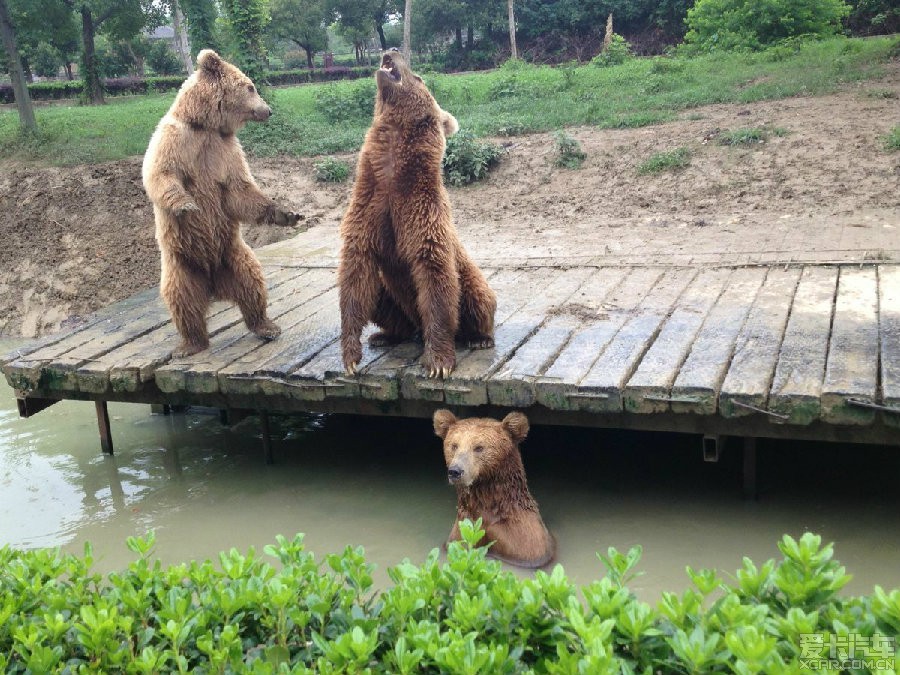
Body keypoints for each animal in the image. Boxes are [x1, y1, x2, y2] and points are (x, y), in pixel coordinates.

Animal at [142, 49, 300, 356]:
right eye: (250, 86)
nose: (268, 110)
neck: (206, 126)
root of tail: (213, 286)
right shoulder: (175, 141)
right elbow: (161, 175)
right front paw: (186, 205)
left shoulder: (225, 151)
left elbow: (239, 191)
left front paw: (286, 213)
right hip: (182, 263)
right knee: (182, 299)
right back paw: (190, 344)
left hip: (233, 254)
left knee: (252, 283)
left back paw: (266, 326)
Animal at [338, 49, 496, 380]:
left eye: (419, 76)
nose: (392, 50)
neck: (392, 174)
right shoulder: (369, 208)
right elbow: (355, 277)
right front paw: (350, 357)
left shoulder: (421, 214)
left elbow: (434, 278)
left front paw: (438, 362)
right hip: (391, 297)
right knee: (381, 299)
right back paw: (384, 335)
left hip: (471, 278)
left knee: (478, 296)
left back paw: (479, 337)